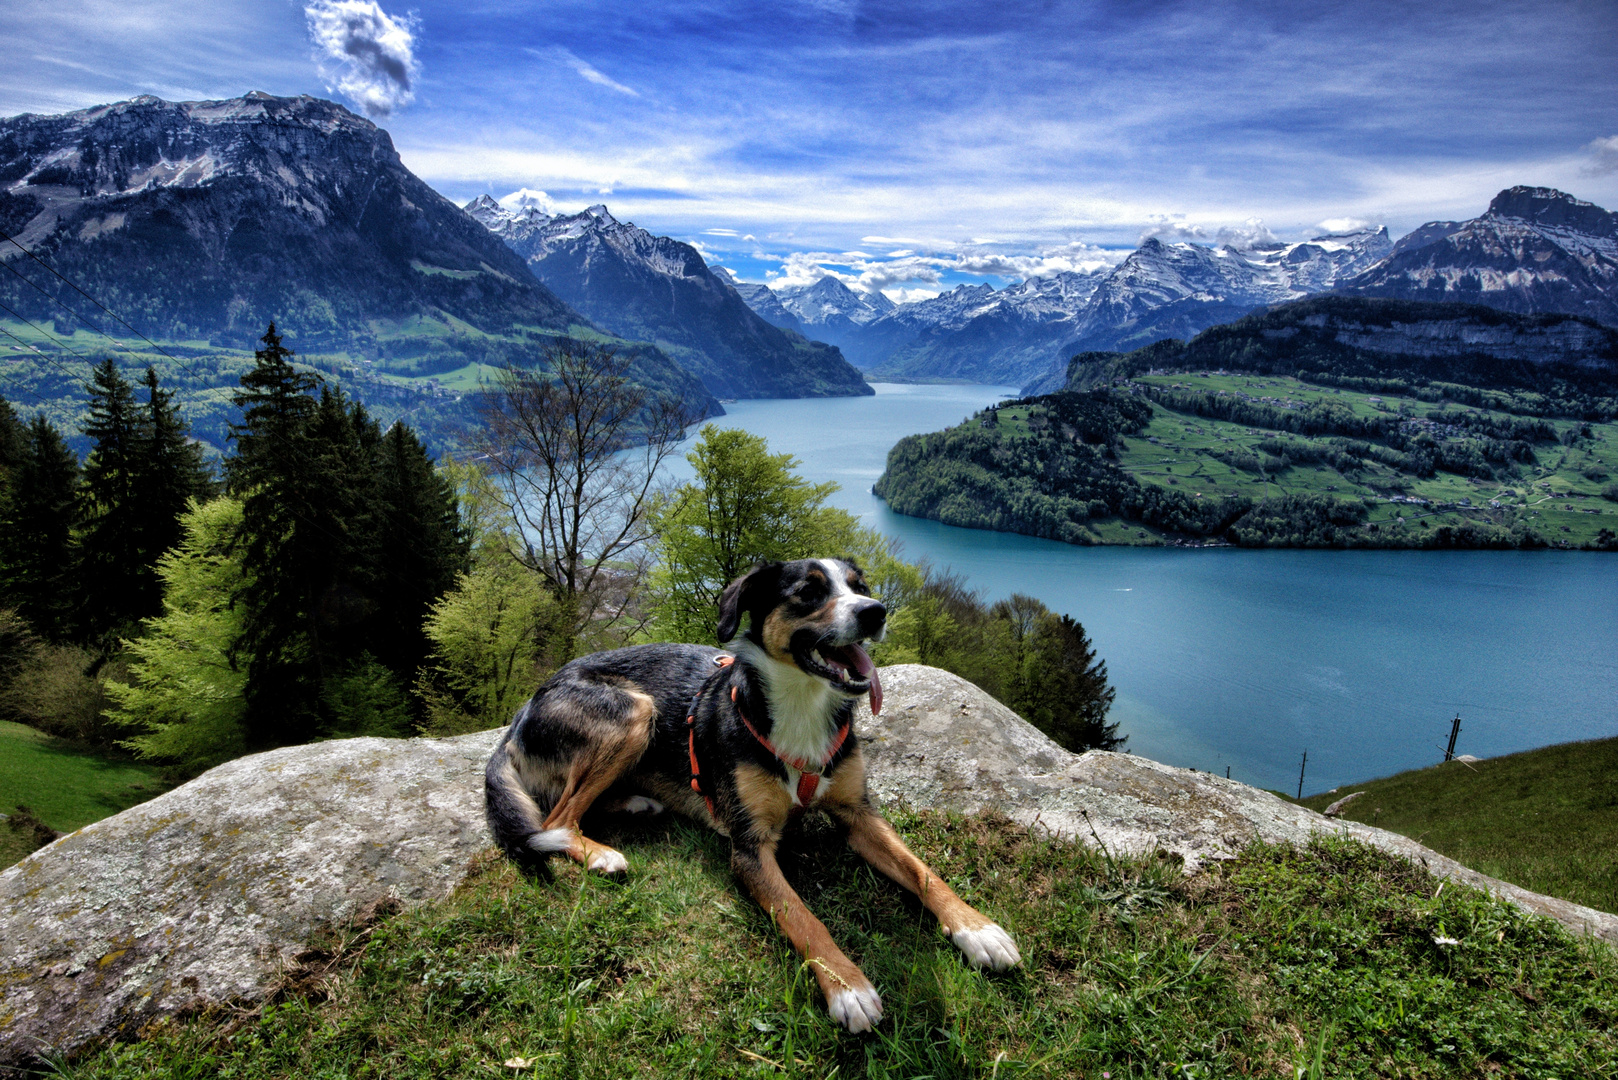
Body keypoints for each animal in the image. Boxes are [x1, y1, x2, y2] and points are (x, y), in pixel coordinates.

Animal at [478, 563, 1016, 1036]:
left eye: (860, 586)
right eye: (808, 591)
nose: (876, 611)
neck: (802, 704)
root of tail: (521, 713)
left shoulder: (859, 815)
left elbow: (923, 871)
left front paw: (977, 930)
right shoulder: (749, 848)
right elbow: (805, 918)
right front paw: (848, 988)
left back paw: (636, 803)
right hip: (632, 712)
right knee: (558, 816)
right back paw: (601, 853)